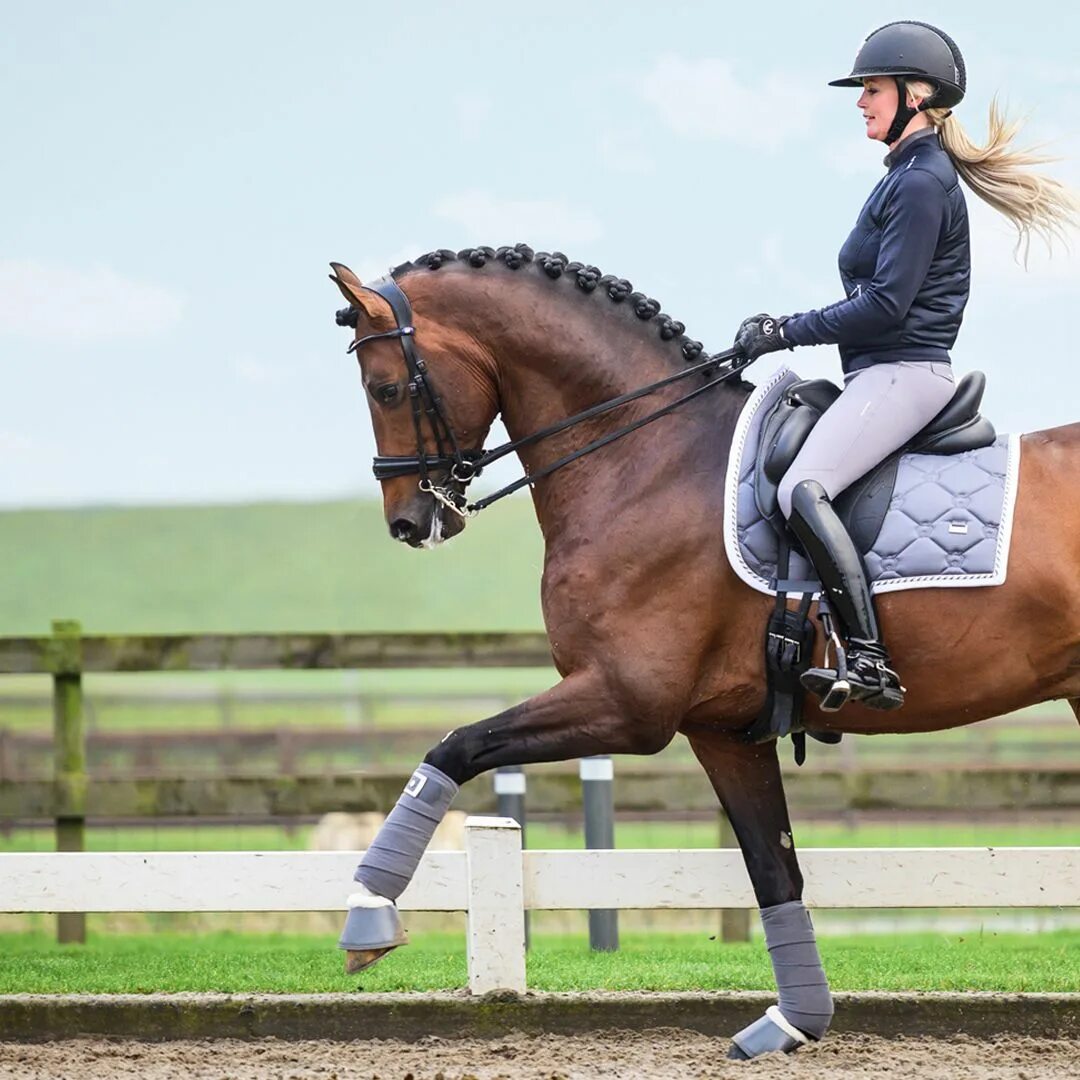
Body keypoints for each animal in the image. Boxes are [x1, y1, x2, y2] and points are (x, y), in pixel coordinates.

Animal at [328, 243, 1080, 1054]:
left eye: (386, 387)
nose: (409, 523)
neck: (648, 460)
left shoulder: (628, 705)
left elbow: (454, 748)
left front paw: (367, 914)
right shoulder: (723, 731)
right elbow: (773, 870)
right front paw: (791, 1022)